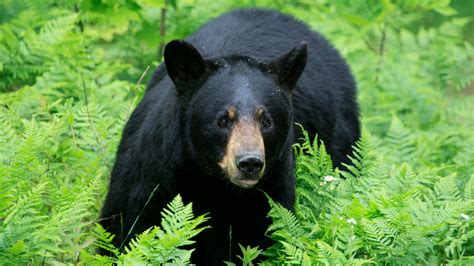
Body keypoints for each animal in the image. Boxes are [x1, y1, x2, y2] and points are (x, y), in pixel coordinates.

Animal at [100, 7, 360, 264]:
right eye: (223, 120)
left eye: (266, 121)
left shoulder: (272, 192)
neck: (215, 185)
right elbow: (127, 227)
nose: (249, 162)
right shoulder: (152, 176)